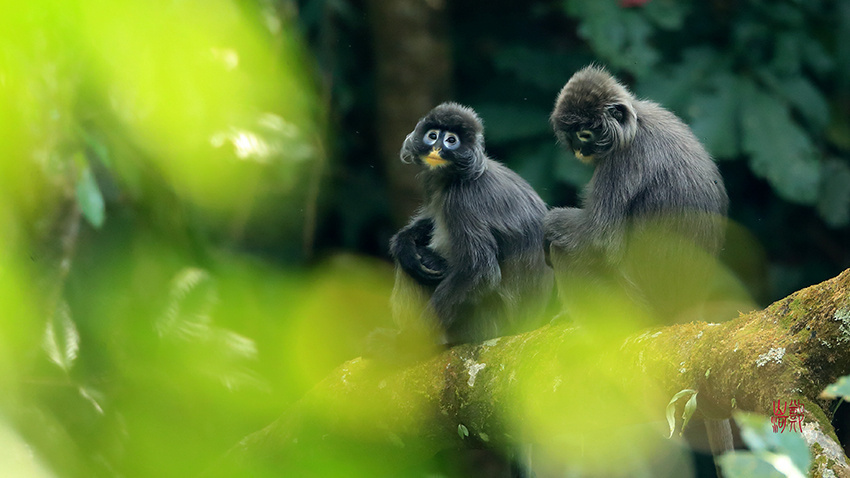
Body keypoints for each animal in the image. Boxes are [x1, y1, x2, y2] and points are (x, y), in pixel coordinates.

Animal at [388, 102, 552, 348]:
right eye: (432, 136)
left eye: (451, 140)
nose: (437, 149)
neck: (461, 176)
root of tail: (524, 327)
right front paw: (403, 242)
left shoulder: (461, 201)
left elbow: (480, 271)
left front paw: (407, 343)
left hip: (484, 323)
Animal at [544, 66, 736, 470]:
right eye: (574, 133)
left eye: (587, 132)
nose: (582, 147)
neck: (638, 124)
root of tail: (687, 312)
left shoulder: (624, 161)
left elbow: (600, 240)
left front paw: (547, 224)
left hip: (634, 309)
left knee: (567, 251)